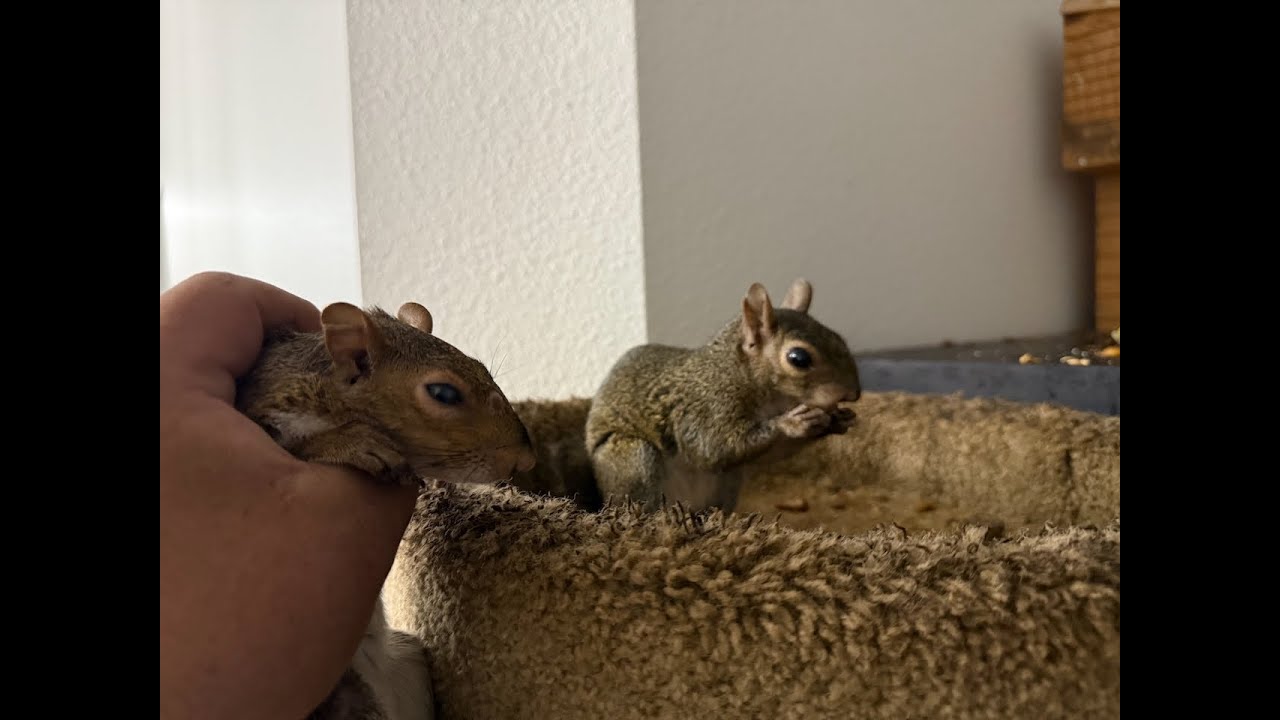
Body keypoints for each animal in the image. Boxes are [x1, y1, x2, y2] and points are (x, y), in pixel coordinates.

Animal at [582, 278, 861, 514]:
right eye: (799, 358)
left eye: (838, 338)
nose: (855, 393)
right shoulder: (705, 406)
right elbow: (712, 446)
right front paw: (792, 423)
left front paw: (839, 419)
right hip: (632, 459)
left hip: (729, 480)